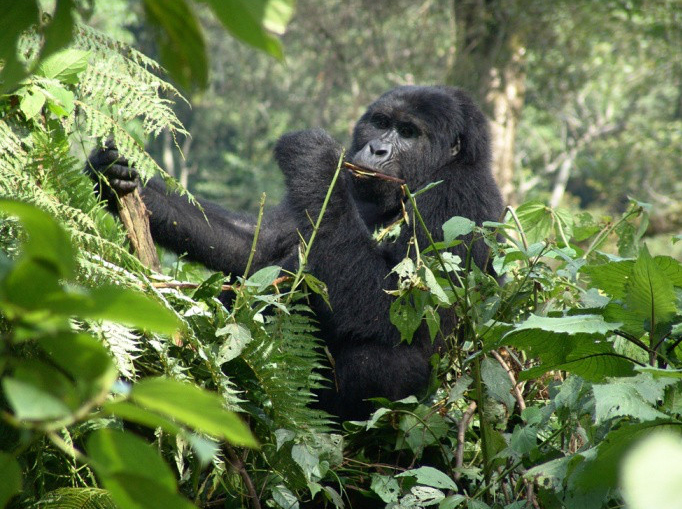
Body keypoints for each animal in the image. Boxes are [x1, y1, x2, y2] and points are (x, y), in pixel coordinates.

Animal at [87, 86, 502, 420]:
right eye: (381, 123)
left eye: (409, 133)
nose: (377, 148)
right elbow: (258, 248)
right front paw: (113, 174)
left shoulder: (458, 201)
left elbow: (397, 311)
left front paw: (316, 157)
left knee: (384, 362)